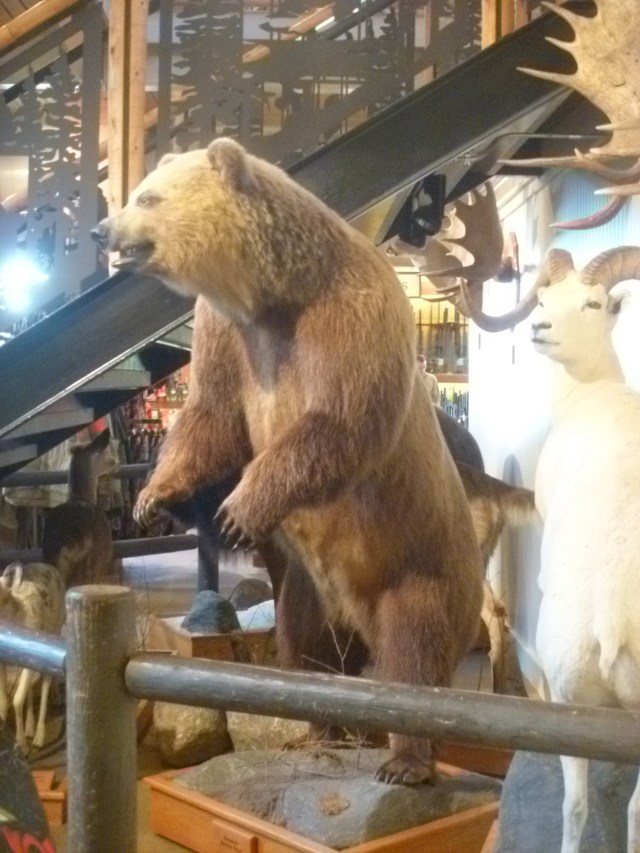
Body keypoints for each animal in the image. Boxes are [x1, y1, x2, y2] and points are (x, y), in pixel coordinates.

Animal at [91, 137, 484, 785]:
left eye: (147, 196)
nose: (103, 229)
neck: (274, 296)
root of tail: (359, 622)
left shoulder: (347, 320)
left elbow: (335, 424)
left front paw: (236, 509)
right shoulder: (229, 336)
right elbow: (211, 418)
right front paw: (159, 496)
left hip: (420, 567)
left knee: (415, 657)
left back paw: (404, 761)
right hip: (306, 588)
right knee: (304, 650)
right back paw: (318, 732)